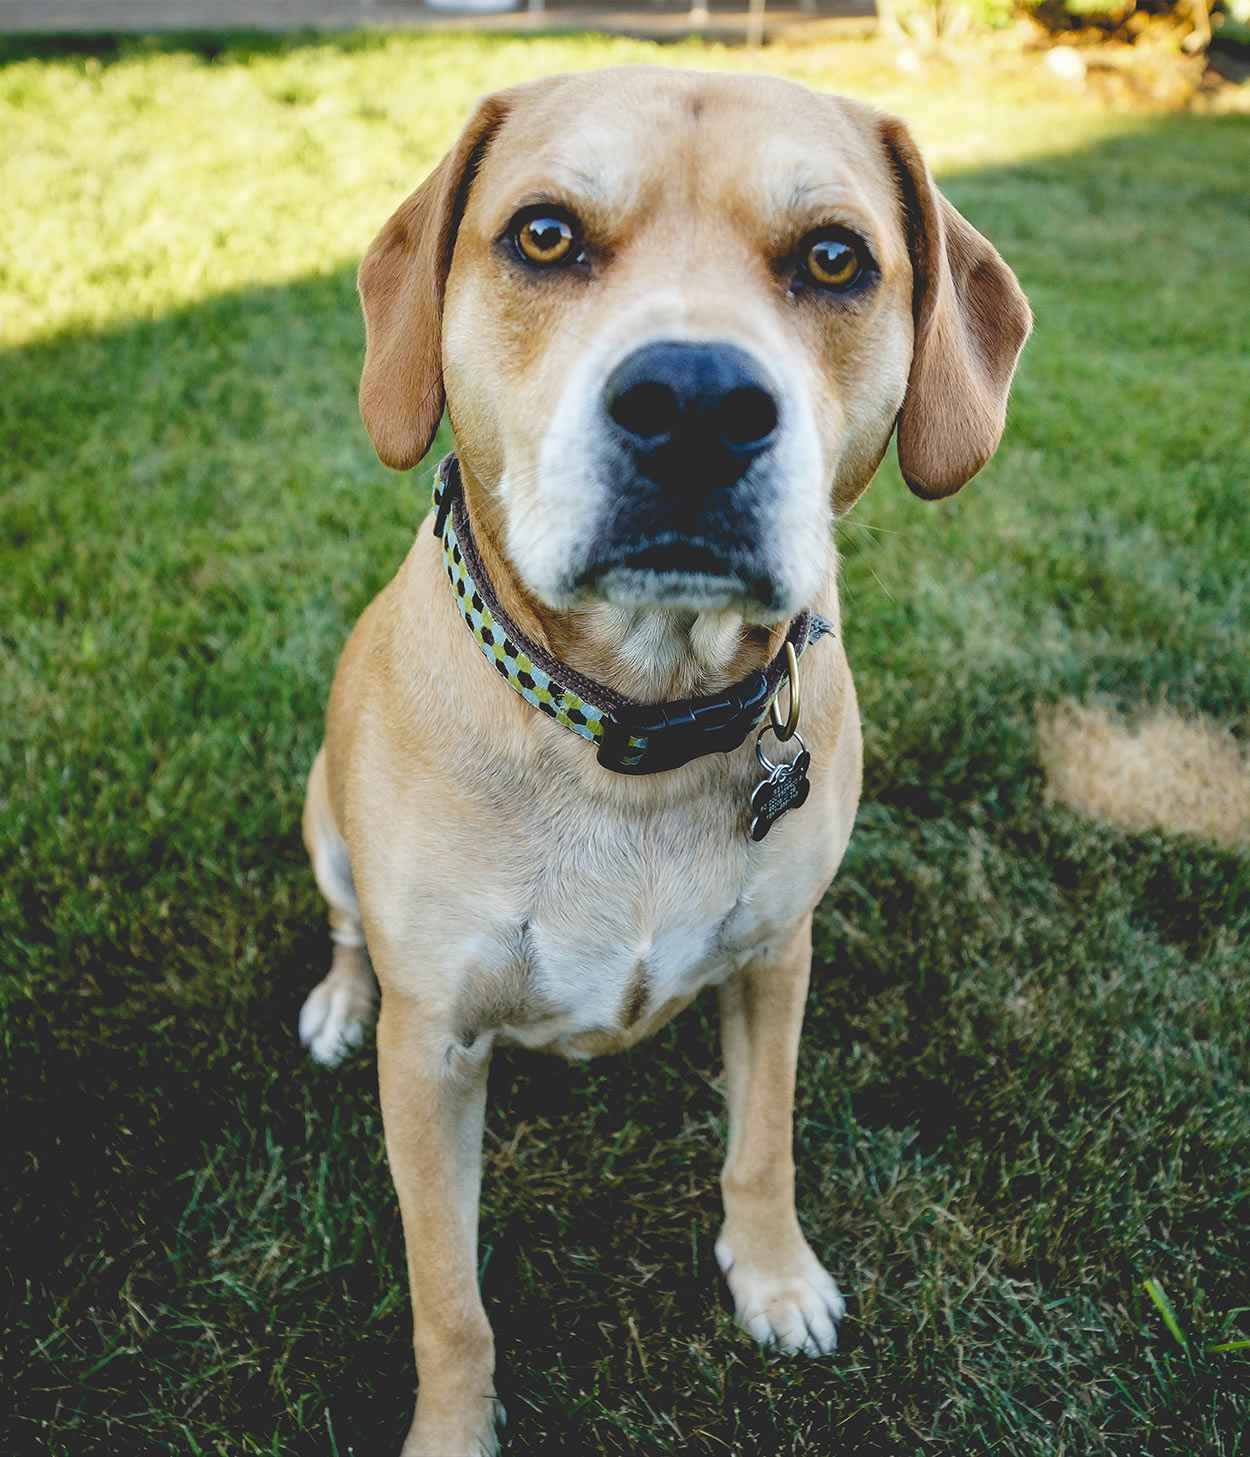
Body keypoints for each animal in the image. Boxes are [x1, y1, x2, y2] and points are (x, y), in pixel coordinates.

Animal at [297, 68, 1025, 1457]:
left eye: (834, 257)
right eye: (542, 234)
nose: (693, 400)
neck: (637, 721)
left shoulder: (778, 957)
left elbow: (763, 1142)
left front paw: (774, 1275)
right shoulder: (432, 1052)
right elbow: (446, 1292)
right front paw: (453, 1426)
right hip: (321, 824)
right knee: (349, 927)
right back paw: (336, 998)